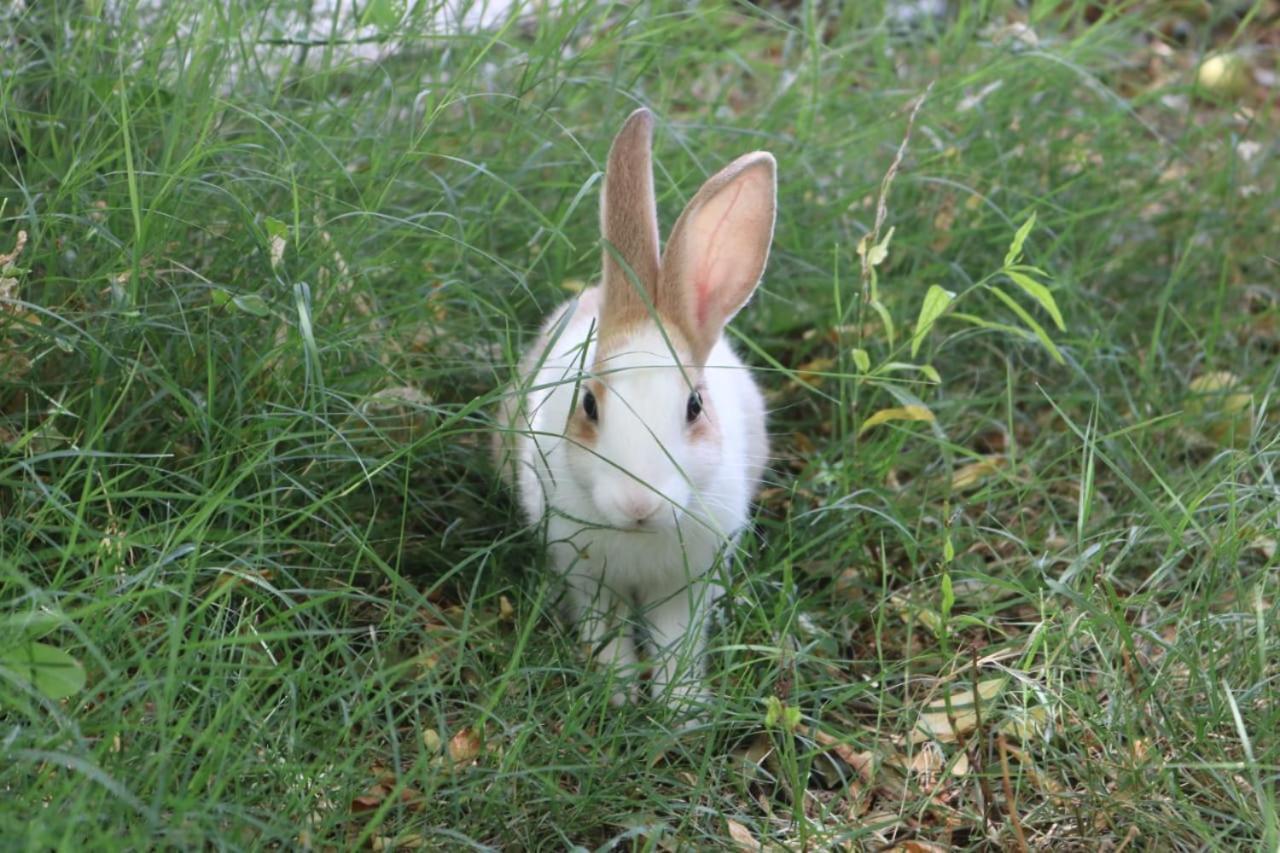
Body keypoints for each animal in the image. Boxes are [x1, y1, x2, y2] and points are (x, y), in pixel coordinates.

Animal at [494, 108, 773, 712]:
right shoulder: (587, 578)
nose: (639, 504)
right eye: (589, 403)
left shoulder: (688, 585)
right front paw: (618, 694)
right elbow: (608, 634)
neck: (642, 539)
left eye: (694, 406)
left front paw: (681, 708)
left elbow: (675, 641)